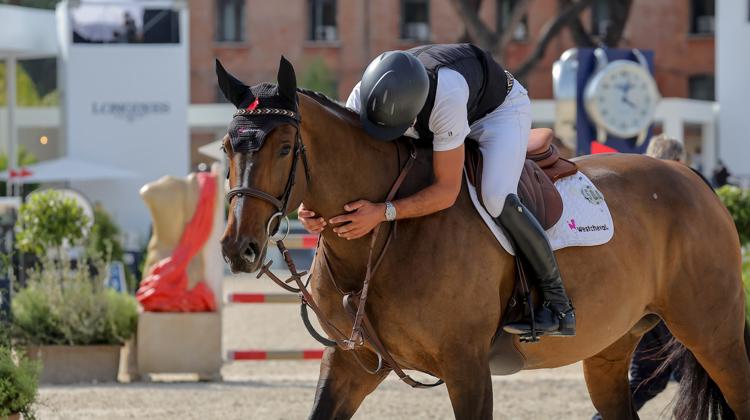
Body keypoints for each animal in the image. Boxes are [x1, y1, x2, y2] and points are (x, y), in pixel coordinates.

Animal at [219, 58, 750, 420]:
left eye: (285, 147)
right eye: (226, 147)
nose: (238, 249)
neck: (379, 243)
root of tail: (693, 178)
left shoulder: (467, 367)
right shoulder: (350, 363)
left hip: (715, 337)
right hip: (611, 348)